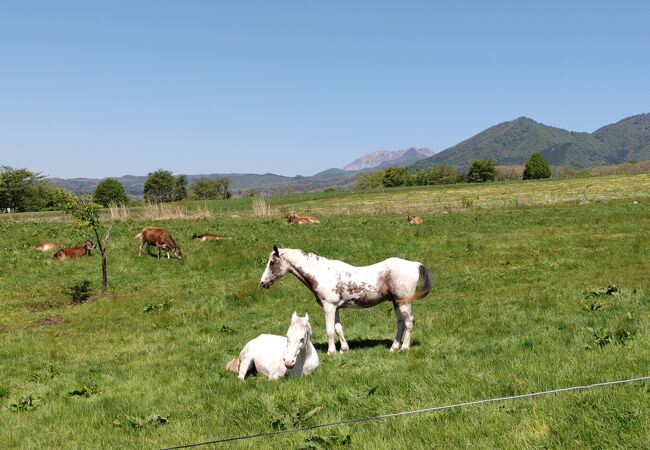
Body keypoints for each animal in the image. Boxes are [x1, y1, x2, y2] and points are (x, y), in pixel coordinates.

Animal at [260, 246, 432, 354]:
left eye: (272, 262)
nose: (262, 282)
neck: (321, 273)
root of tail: (415, 264)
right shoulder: (335, 308)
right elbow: (338, 328)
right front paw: (344, 349)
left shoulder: (328, 307)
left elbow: (330, 330)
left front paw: (331, 352)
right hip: (396, 302)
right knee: (401, 323)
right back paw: (393, 348)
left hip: (404, 302)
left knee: (409, 322)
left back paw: (404, 348)